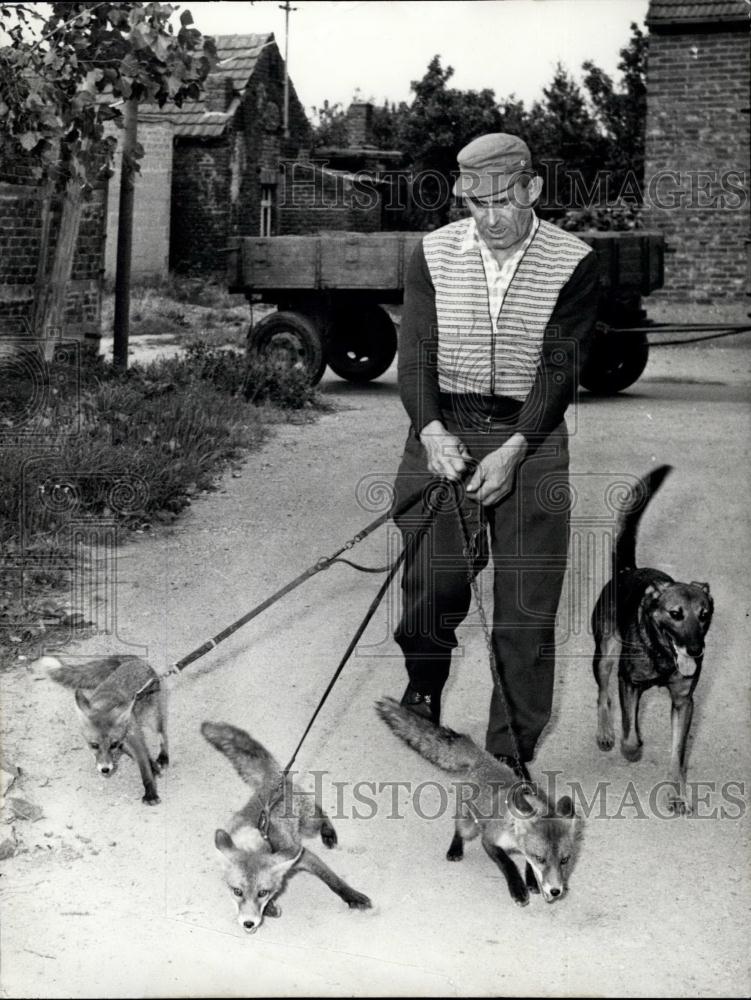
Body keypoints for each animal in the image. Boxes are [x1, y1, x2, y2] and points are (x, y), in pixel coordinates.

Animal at [43, 656, 170, 804]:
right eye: (94, 745)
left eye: (113, 745)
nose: (105, 770)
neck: (106, 703)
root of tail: (135, 660)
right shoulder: (125, 742)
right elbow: (142, 759)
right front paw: (152, 769)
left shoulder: (133, 740)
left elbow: (145, 770)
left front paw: (150, 794)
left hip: (152, 718)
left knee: (162, 735)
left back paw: (163, 757)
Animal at [203, 724, 374, 932]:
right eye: (237, 891)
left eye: (262, 892)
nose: (248, 923)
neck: (261, 837)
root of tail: (274, 781)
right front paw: (269, 909)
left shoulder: (304, 856)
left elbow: (333, 881)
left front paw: (352, 896)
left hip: (308, 824)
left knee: (321, 812)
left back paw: (328, 833)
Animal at [376, 696, 580, 908]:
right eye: (541, 858)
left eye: (565, 860)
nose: (556, 891)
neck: (513, 834)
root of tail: (485, 758)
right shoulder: (489, 840)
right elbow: (508, 864)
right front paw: (518, 889)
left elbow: (527, 864)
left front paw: (531, 881)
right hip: (469, 825)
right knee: (459, 830)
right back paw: (455, 849)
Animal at [592, 466, 712, 812]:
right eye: (675, 614)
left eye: (704, 614)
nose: (695, 650)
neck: (663, 653)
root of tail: (627, 571)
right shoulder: (628, 683)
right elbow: (630, 733)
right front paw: (632, 748)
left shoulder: (684, 701)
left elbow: (677, 753)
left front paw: (677, 792)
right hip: (604, 653)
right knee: (602, 695)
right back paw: (605, 731)